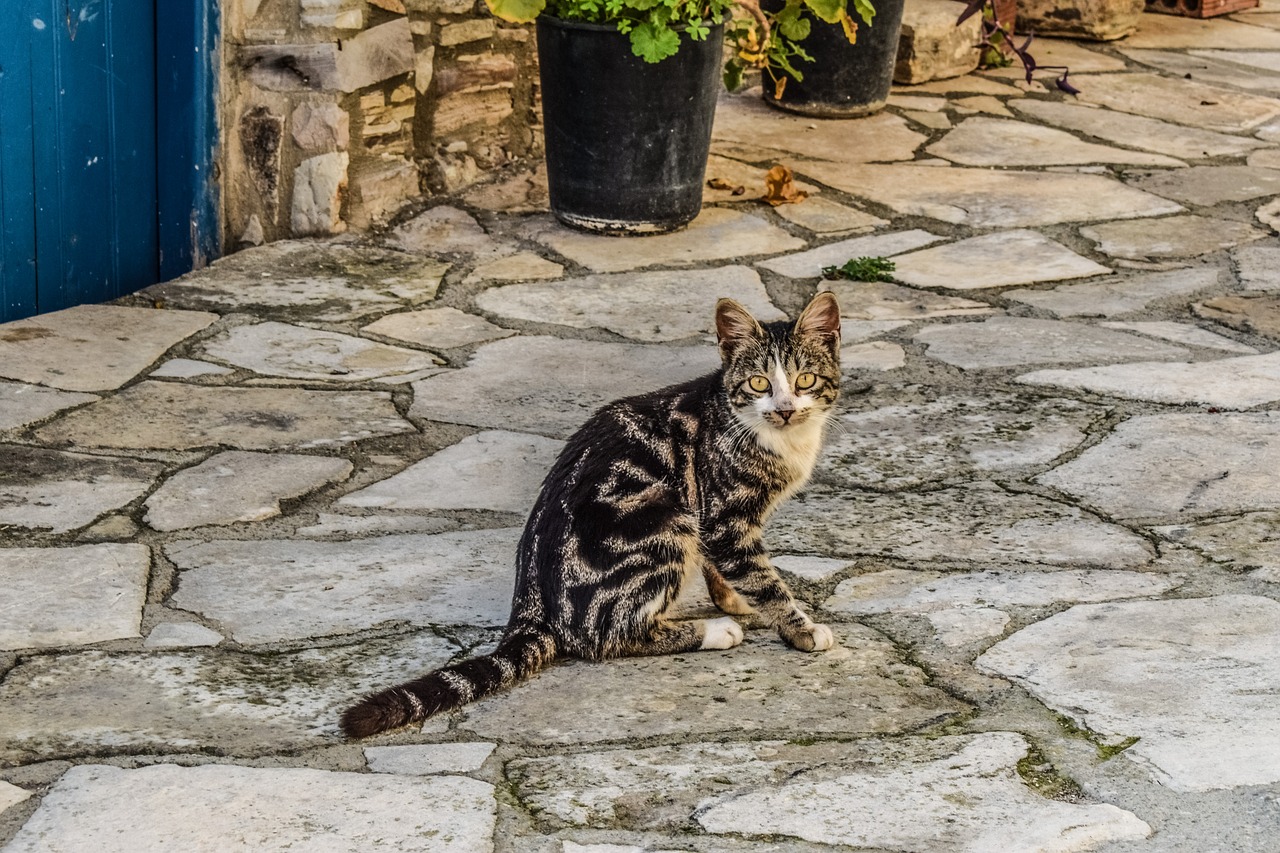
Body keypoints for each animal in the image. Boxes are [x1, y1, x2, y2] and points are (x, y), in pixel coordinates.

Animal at [340, 289, 844, 732]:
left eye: (805, 380)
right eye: (759, 383)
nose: (784, 409)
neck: (772, 436)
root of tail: (532, 599)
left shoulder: (716, 519)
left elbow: (723, 569)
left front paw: (736, 600)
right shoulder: (722, 516)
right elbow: (762, 578)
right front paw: (799, 628)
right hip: (662, 516)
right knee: (606, 637)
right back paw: (712, 632)